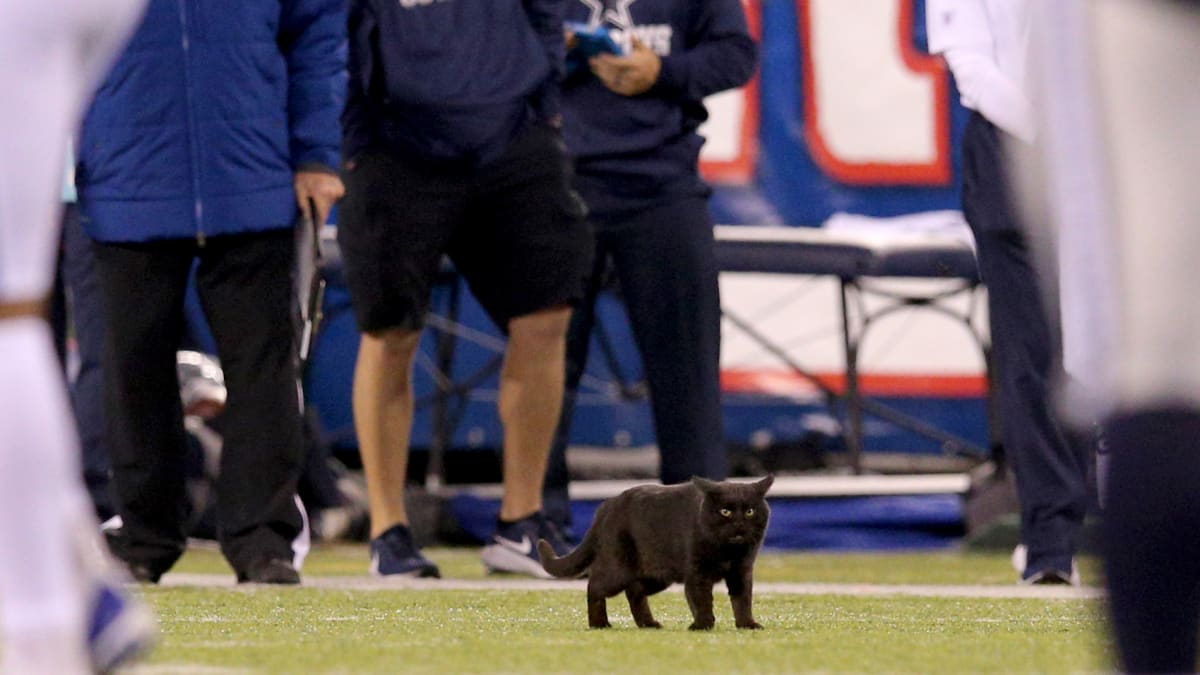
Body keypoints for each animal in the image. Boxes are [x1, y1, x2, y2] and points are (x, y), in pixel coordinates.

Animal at [540, 475, 772, 629]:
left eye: (750, 511)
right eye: (725, 512)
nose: (739, 525)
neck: (728, 552)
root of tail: (608, 504)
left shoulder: (742, 571)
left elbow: (743, 599)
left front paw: (747, 624)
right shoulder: (697, 572)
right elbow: (701, 599)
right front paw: (703, 625)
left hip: (656, 576)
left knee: (634, 592)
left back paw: (648, 623)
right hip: (618, 570)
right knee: (594, 586)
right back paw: (599, 624)